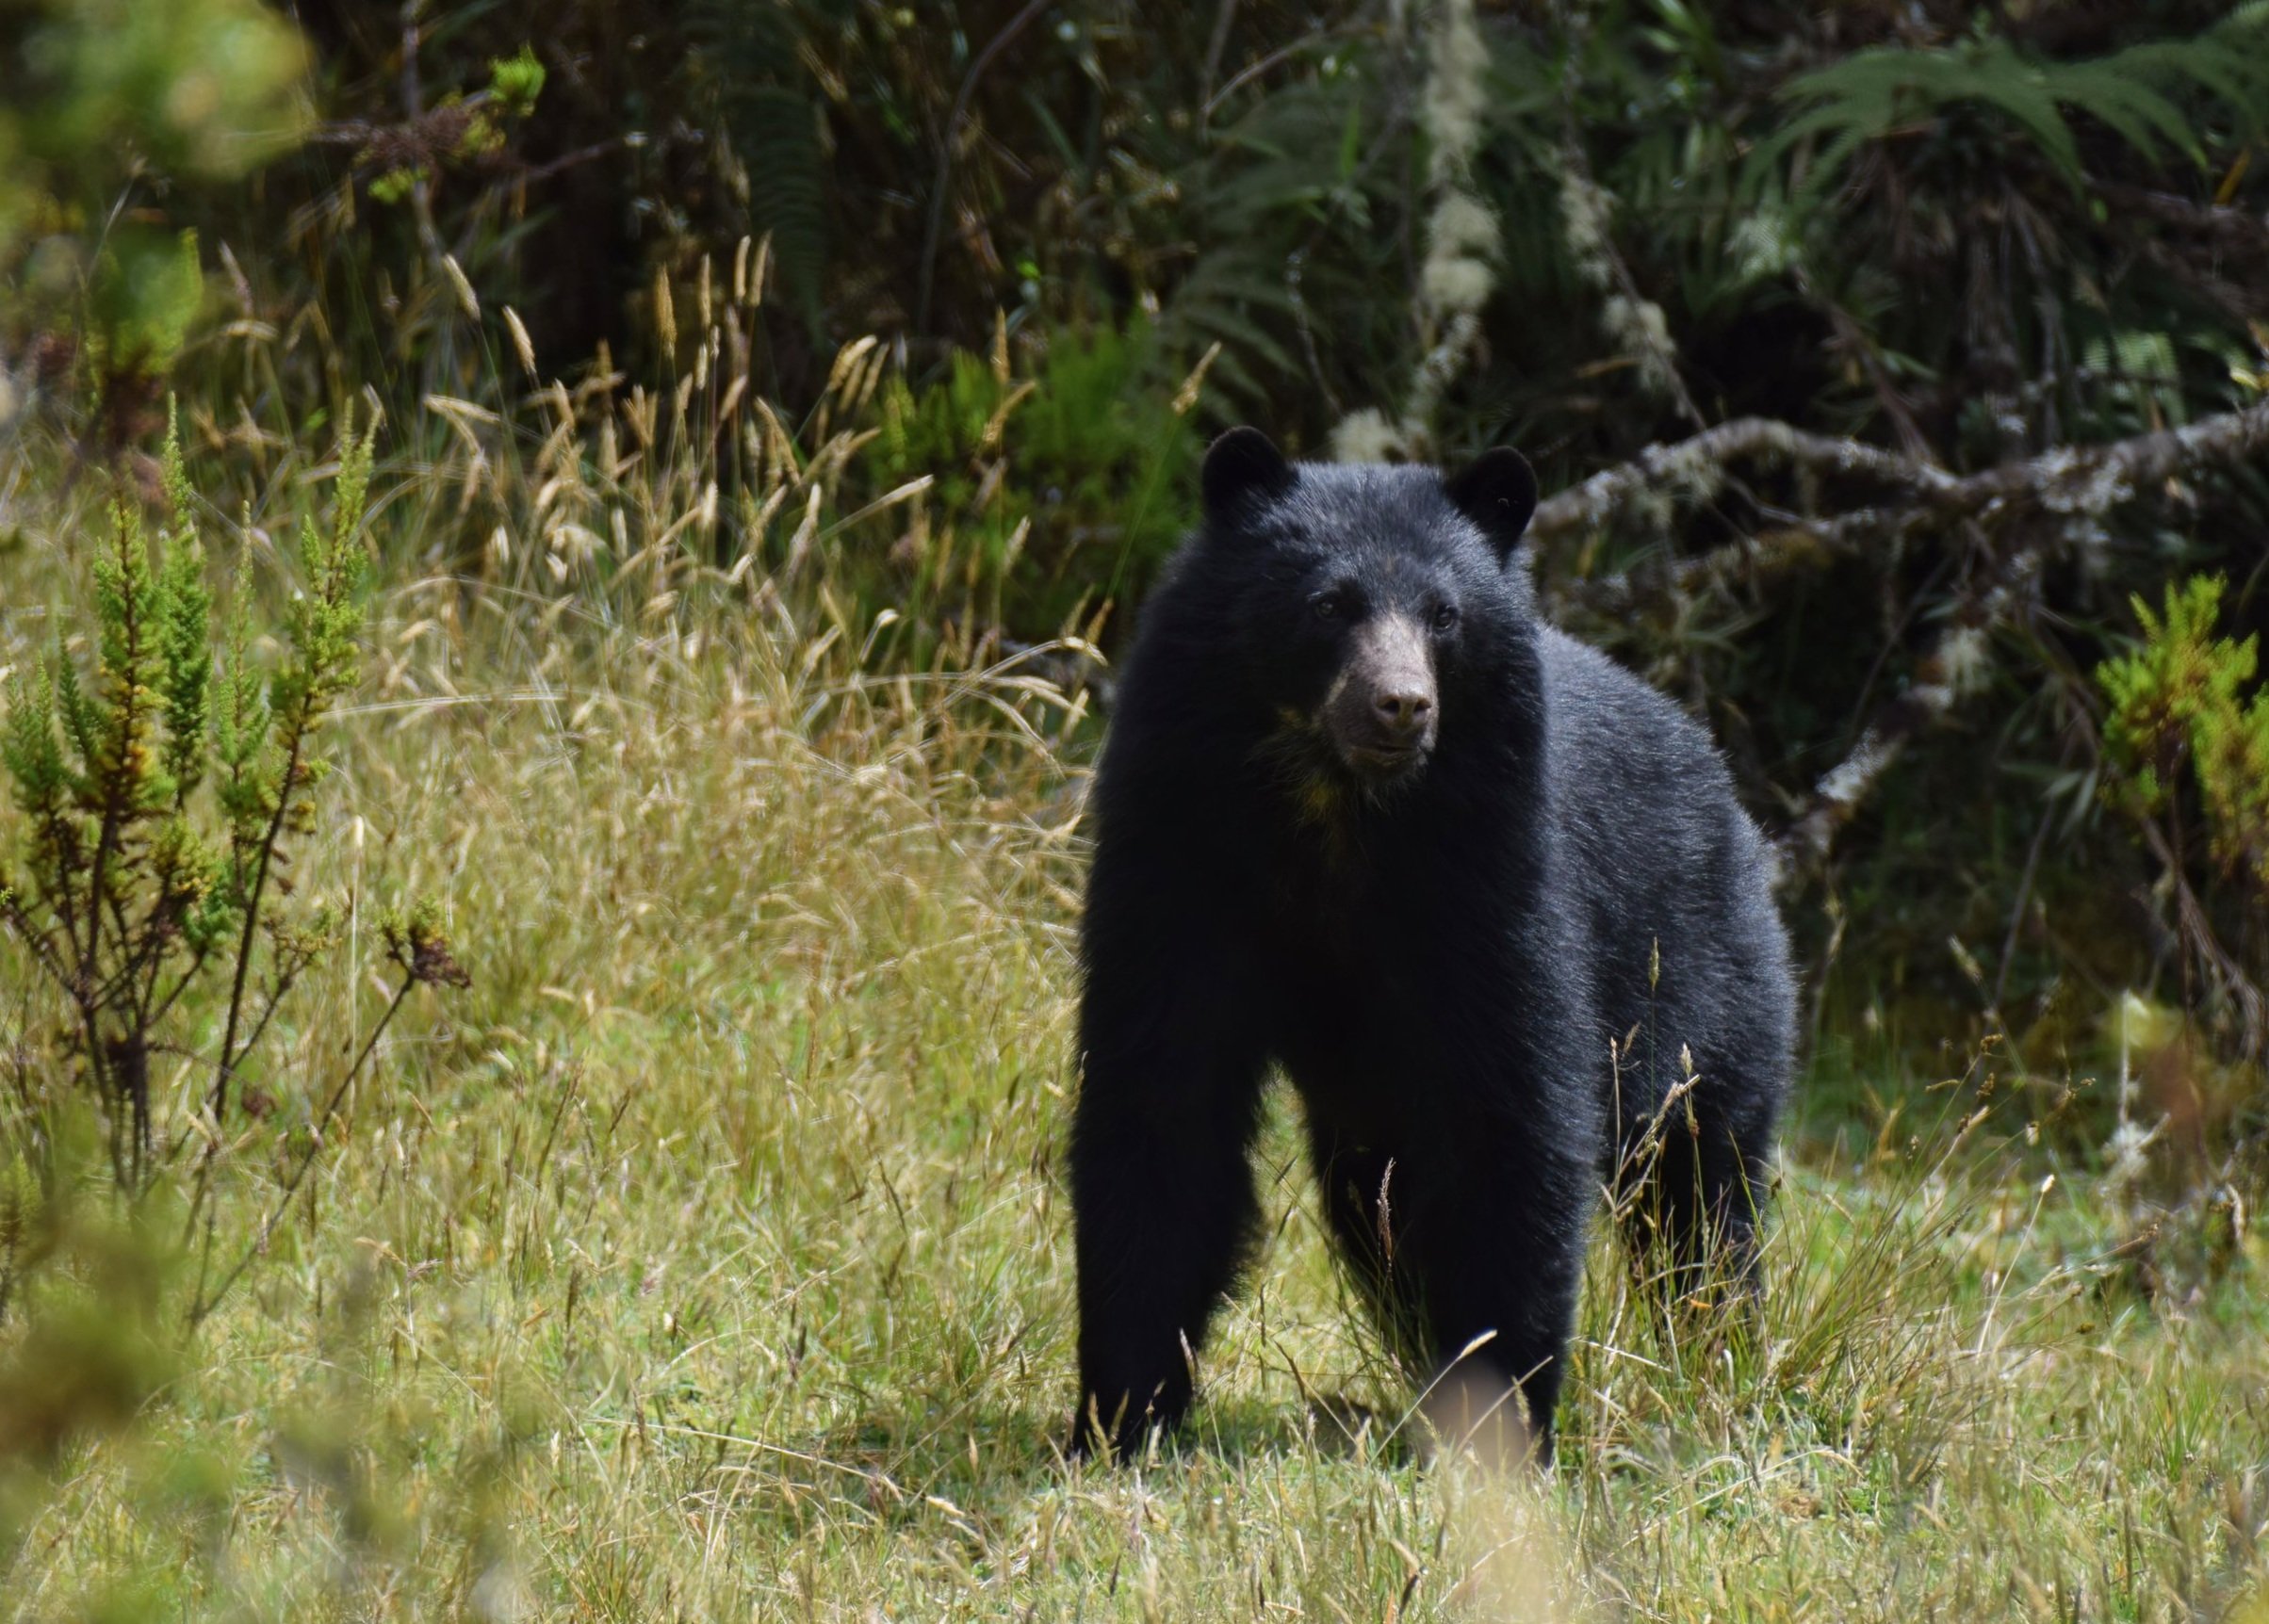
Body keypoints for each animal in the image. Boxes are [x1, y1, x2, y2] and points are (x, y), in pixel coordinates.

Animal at [1070, 424, 1797, 1470]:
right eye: (1327, 604)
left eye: (1444, 616)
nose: (1400, 704)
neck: (1334, 809)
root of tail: (1735, 804)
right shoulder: (1177, 850)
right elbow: (1160, 1101)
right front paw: (1118, 1416)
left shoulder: (1494, 869)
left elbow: (1511, 1110)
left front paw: (1505, 1420)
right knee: (1375, 1206)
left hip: (1707, 982)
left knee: (1700, 1187)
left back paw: (1714, 1345)